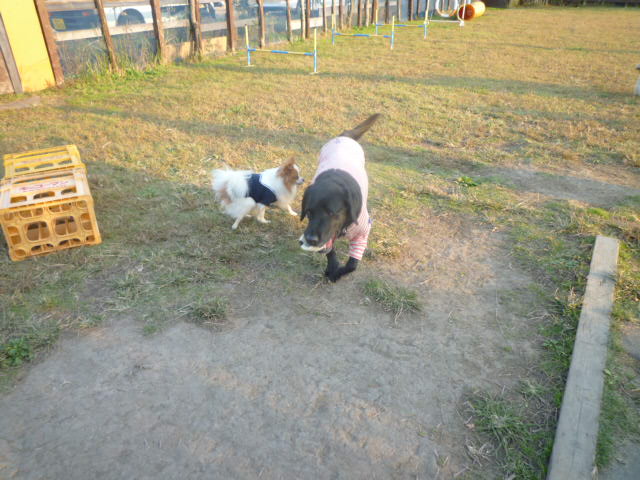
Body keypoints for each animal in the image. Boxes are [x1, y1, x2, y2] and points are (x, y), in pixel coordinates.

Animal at [299, 114, 380, 282]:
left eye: (331, 212)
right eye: (308, 212)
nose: (310, 239)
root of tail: (345, 136)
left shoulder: (363, 233)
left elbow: (352, 265)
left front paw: (336, 273)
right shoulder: (327, 238)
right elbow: (330, 250)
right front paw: (332, 267)